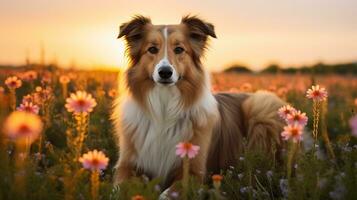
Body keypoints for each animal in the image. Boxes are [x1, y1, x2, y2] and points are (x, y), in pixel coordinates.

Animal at [112, 14, 286, 190]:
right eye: (152, 49)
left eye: (179, 49)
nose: (165, 72)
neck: (164, 108)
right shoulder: (126, 165)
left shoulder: (194, 171)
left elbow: (170, 192)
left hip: (261, 106)